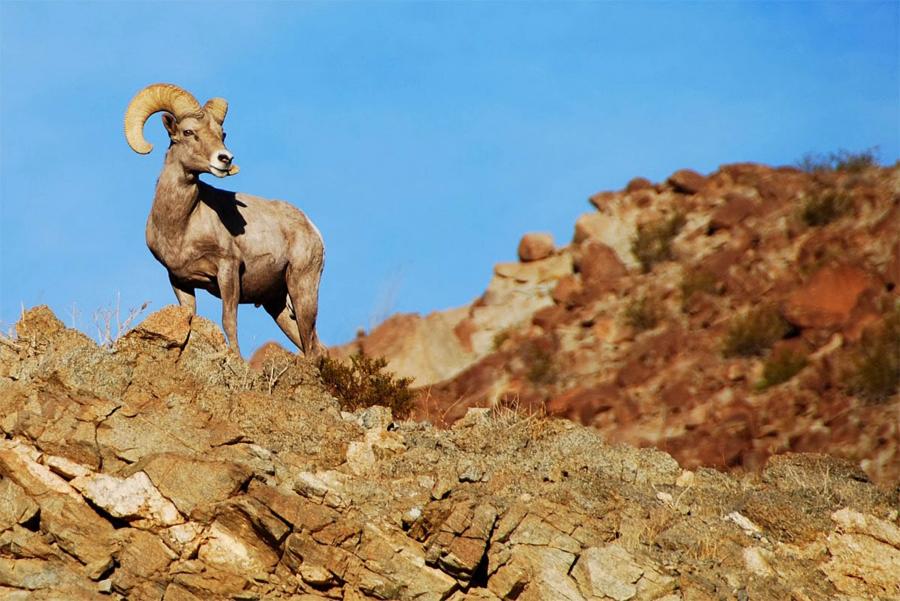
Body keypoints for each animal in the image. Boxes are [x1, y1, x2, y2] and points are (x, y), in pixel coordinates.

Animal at [124, 84, 324, 356]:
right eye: (188, 132)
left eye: (222, 134)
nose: (225, 159)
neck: (181, 226)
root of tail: (313, 229)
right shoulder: (179, 281)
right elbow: (189, 319)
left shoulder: (227, 270)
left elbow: (228, 321)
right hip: (279, 306)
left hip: (302, 289)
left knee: (313, 347)